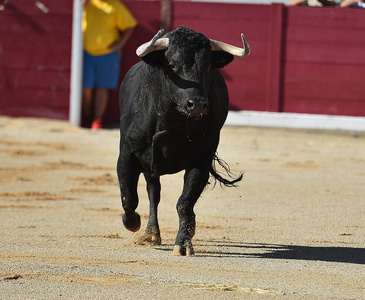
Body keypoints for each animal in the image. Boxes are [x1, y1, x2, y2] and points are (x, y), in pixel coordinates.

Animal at [118, 27, 249, 255]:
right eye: (172, 65)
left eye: (207, 67)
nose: (196, 104)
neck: (171, 119)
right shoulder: (127, 155)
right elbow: (129, 197)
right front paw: (132, 222)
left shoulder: (201, 161)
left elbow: (185, 203)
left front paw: (184, 242)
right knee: (153, 192)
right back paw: (150, 233)